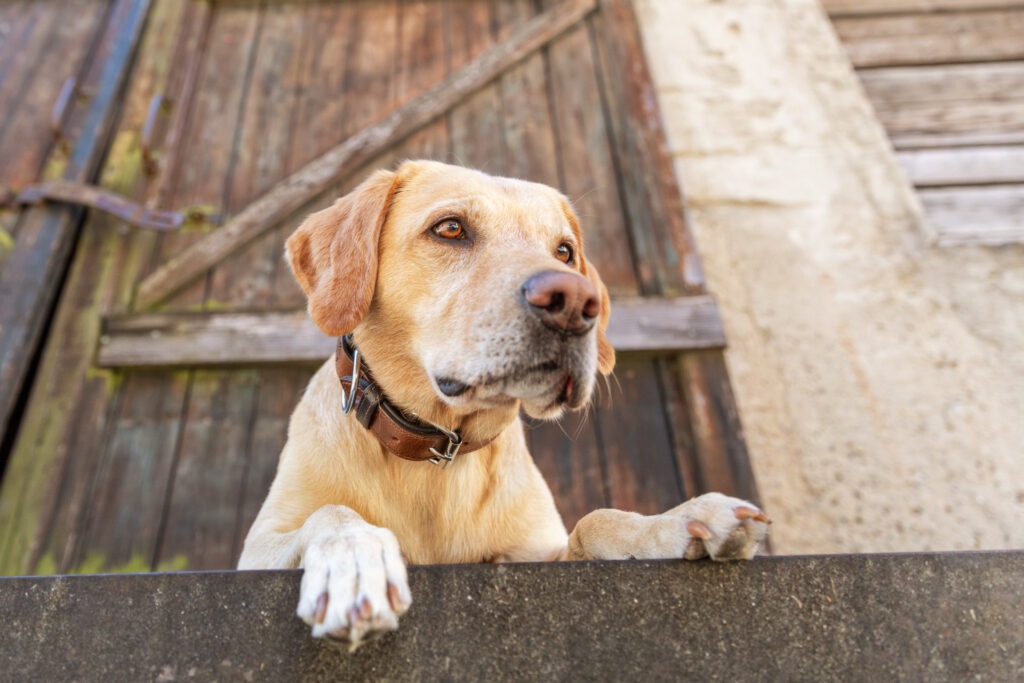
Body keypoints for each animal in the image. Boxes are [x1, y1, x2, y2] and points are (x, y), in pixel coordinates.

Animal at [239, 161, 770, 647]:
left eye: (565, 251)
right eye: (450, 228)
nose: (574, 302)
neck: (438, 451)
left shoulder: (538, 552)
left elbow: (595, 520)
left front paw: (675, 522)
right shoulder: (257, 550)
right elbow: (333, 513)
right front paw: (354, 558)